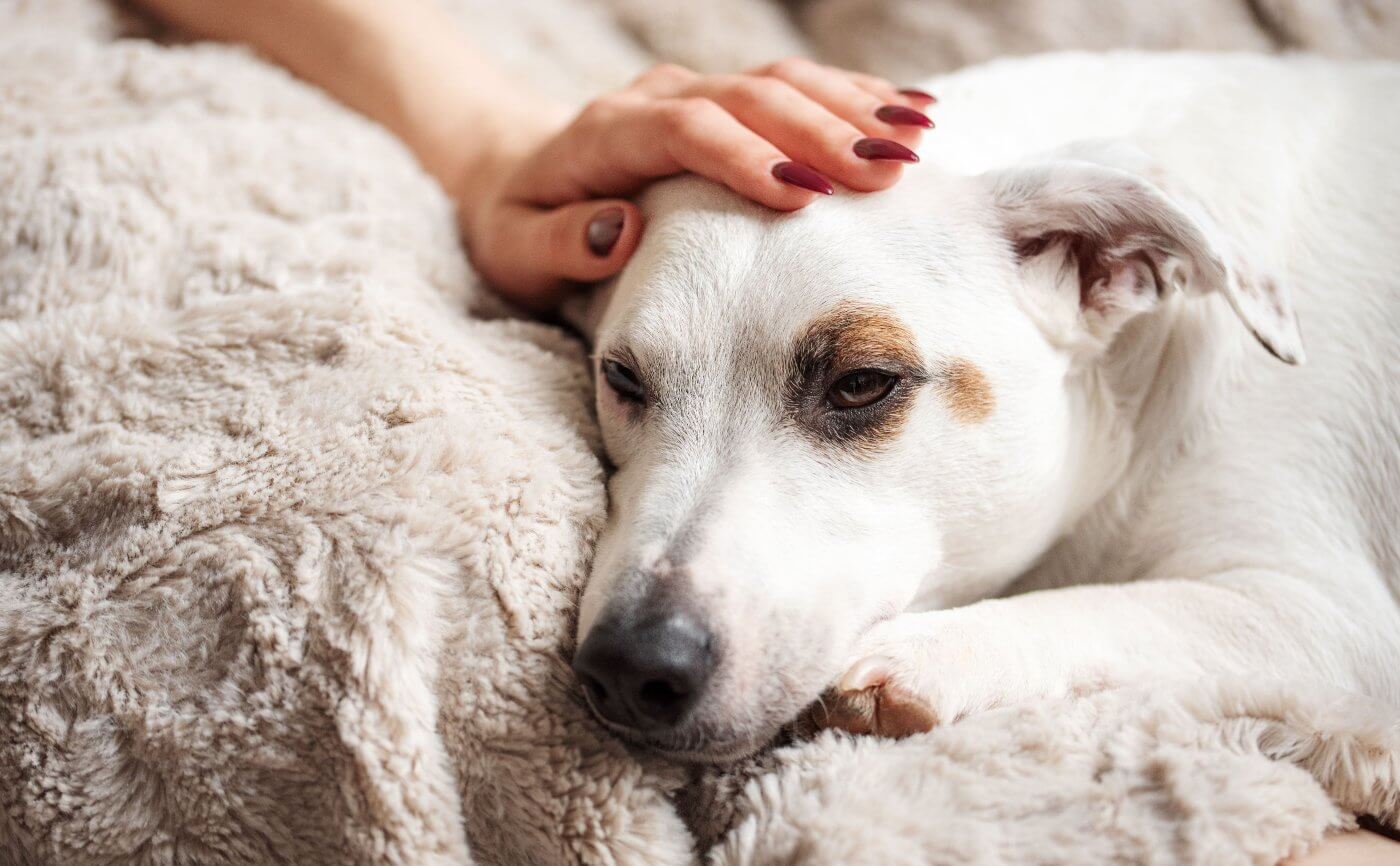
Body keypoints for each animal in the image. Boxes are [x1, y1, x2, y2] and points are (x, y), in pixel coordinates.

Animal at [562, 50, 1394, 761]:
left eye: (862, 382)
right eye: (623, 378)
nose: (631, 664)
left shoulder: (1335, 617)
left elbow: (1131, 607)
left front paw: (933, 651)